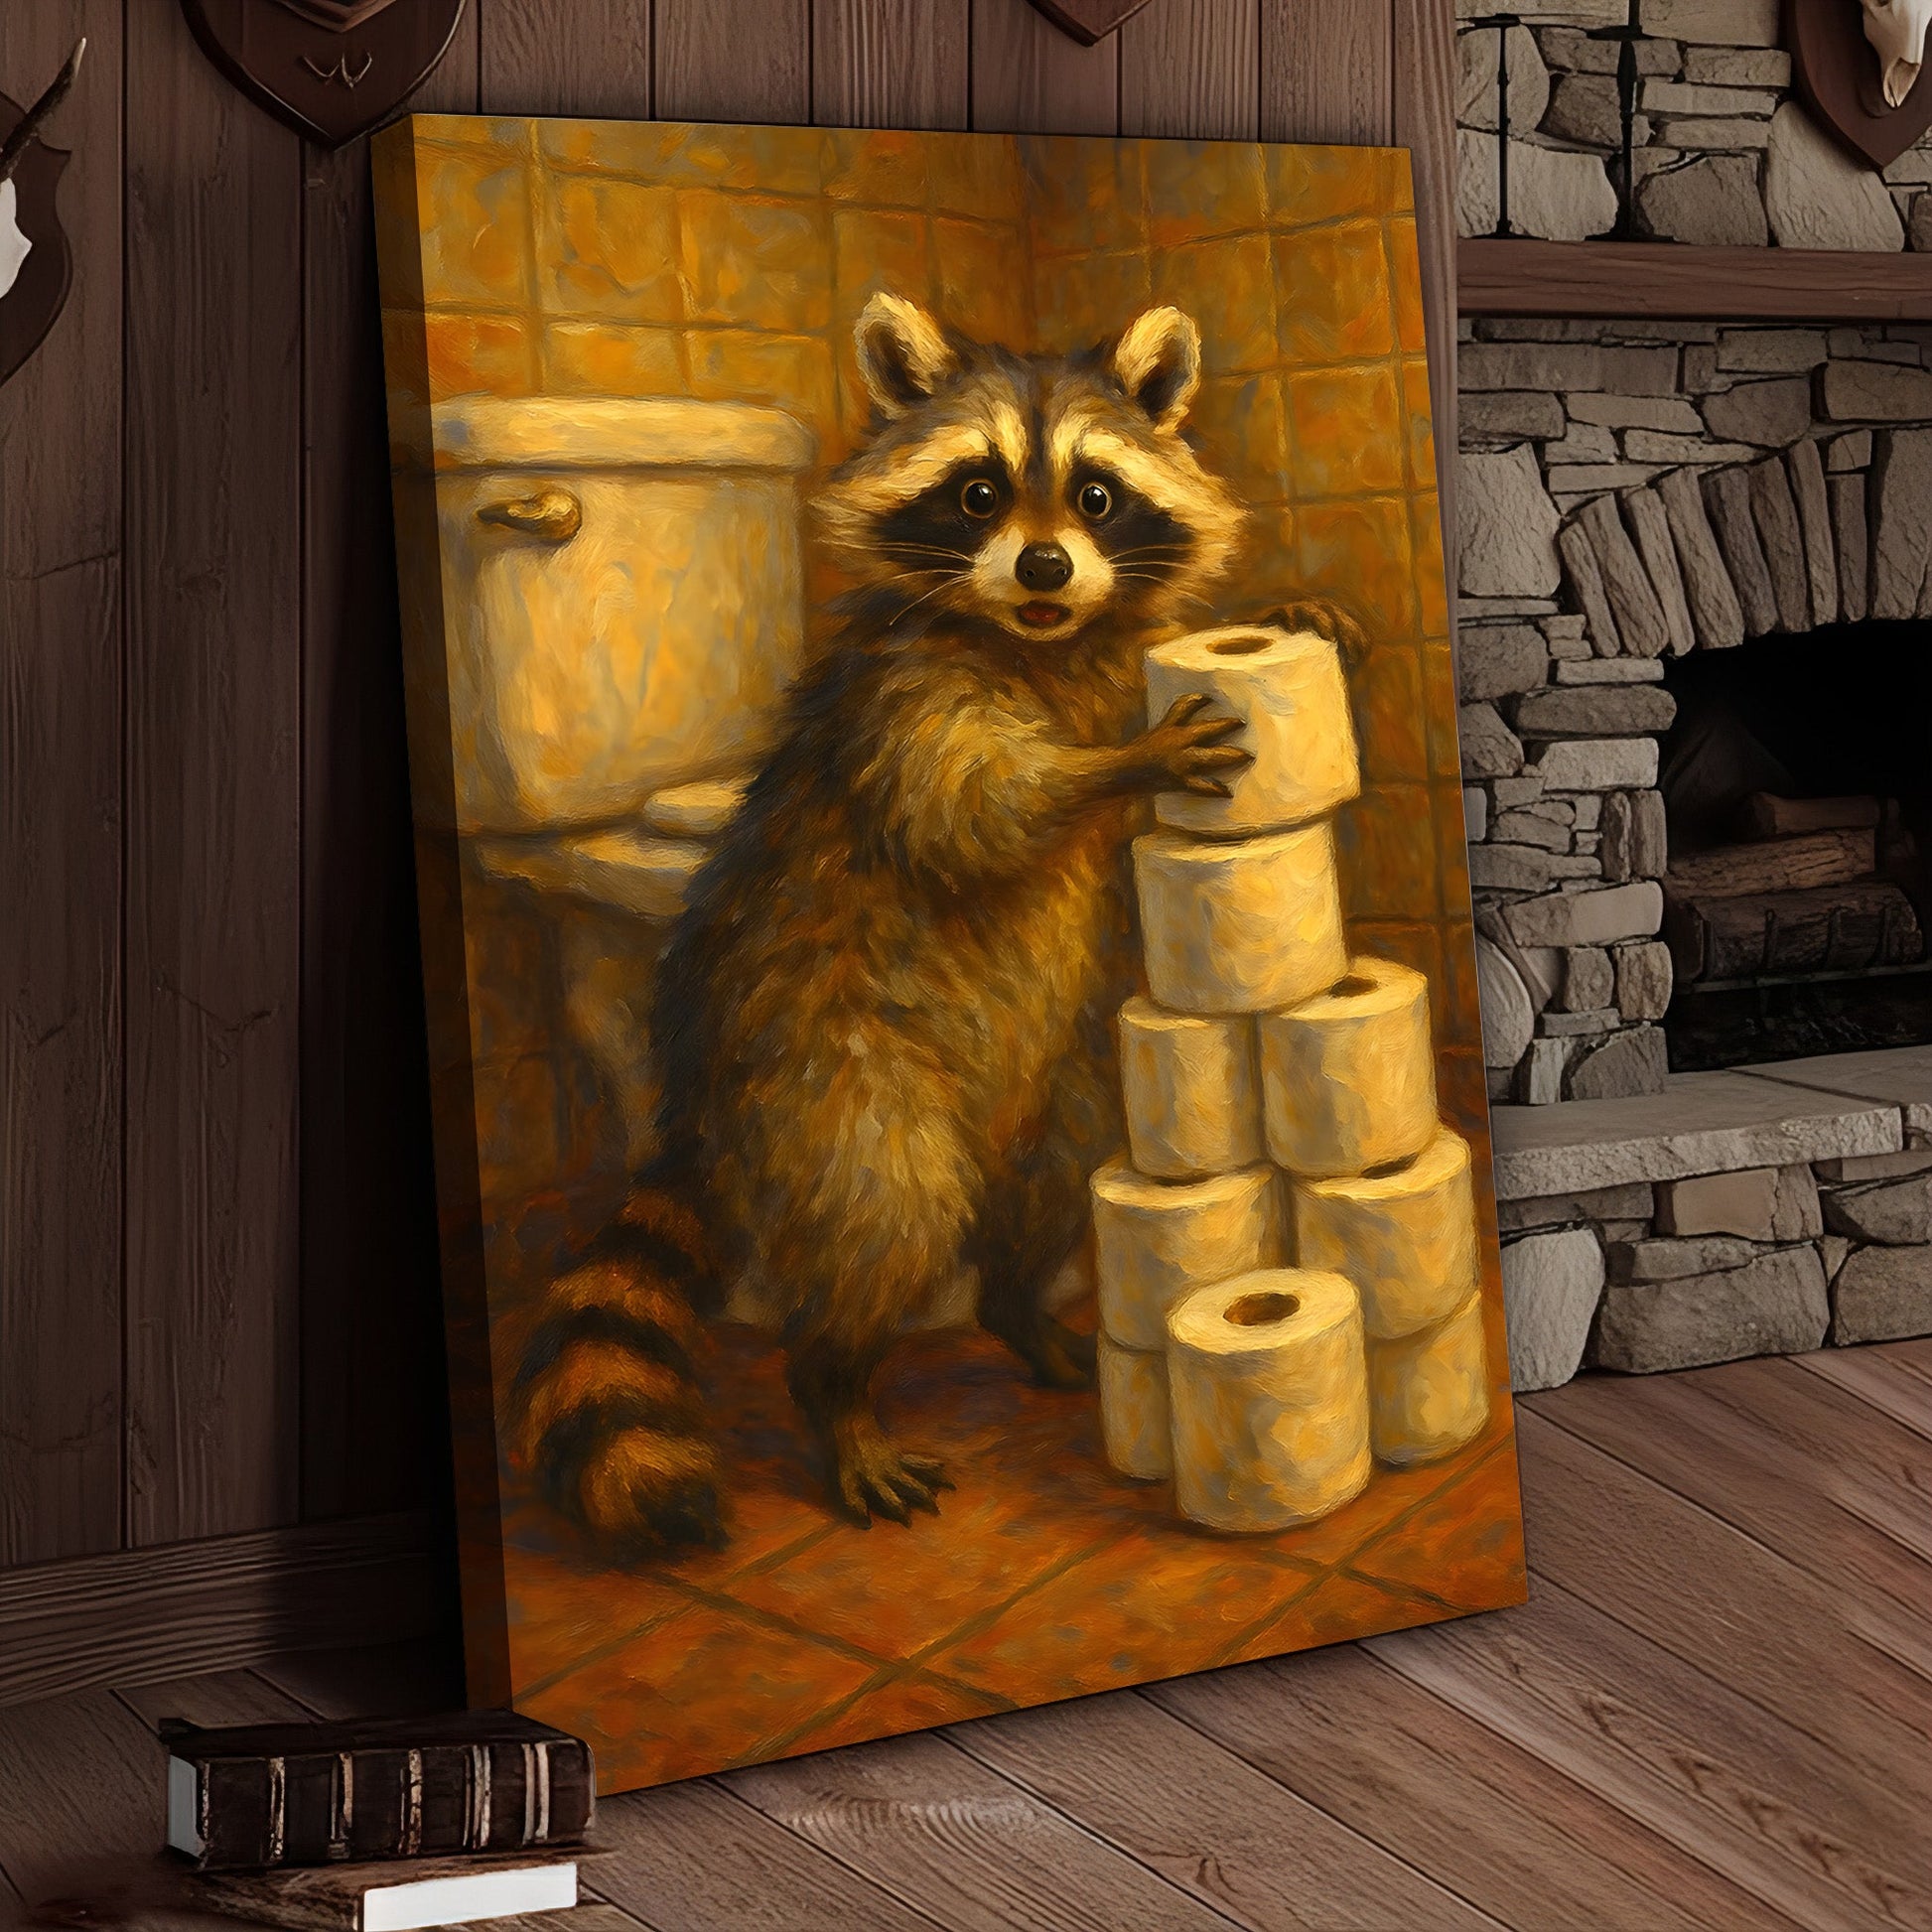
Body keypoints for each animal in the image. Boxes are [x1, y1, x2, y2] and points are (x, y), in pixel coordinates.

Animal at [514, 293, 1351, 1549]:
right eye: (977, 493)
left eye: (1094, 495)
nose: (1045, 561)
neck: (1040, 637)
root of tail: (697, 1091)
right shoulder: (901, 702)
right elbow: (974, 811)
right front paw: (1114, 762)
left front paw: (1276, 612)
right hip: (826, 1073)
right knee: (881, 1215)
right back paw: (838, 1389)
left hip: (1059, 1078)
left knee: (1051, 1176)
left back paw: (1015, 1304)